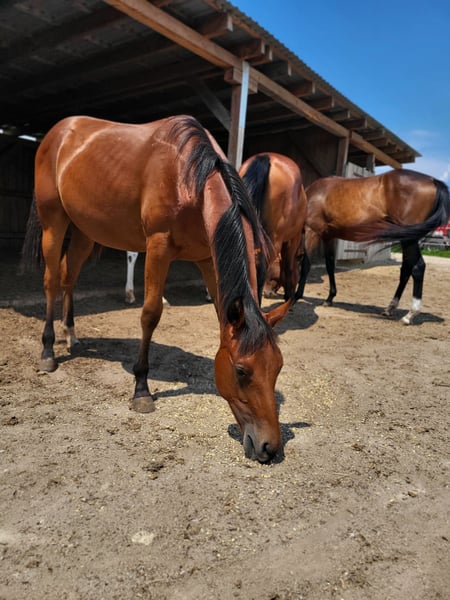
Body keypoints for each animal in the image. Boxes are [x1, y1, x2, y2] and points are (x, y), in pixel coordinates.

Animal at [21, 114, 292, 463]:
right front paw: (141, 389)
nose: (269, 447)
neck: (190, 176)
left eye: (278, 367)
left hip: (84, 230)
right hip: (53, 222)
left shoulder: (207, 258)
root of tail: (58, 132)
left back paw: (72, 335)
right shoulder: (158, 247)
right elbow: (150, 314)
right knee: (52, 281)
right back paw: (48, 351)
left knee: (69, 276)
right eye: (242, 371)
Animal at [295, 169, 450, 324]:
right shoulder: (329, 237)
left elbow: (305, 265)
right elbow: (329, 266)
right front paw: (329, 298)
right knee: (406, 269)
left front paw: (296, 296)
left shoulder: (312, 231)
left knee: (418, 267)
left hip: (409, 239)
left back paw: (410, 314)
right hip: (406, 237)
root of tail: (433, 180)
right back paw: (389, 309)